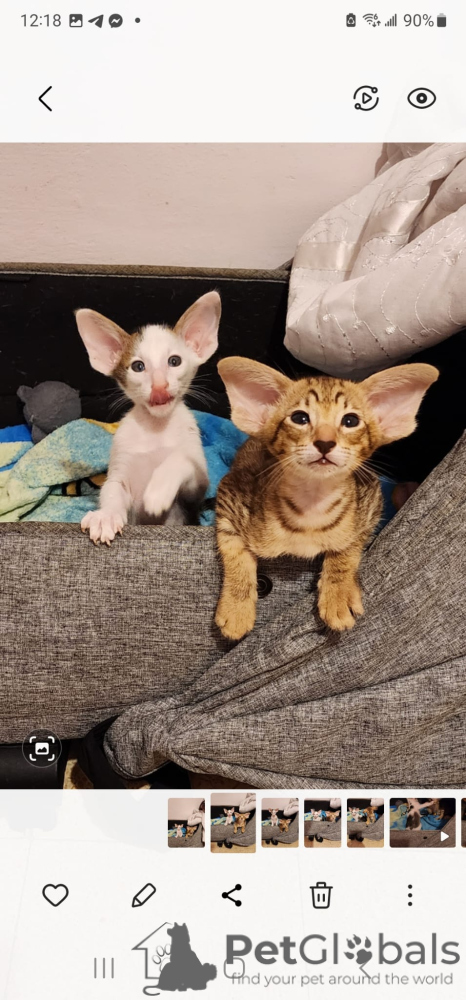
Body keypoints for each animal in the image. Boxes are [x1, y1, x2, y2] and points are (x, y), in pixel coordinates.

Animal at [75, 291, 221, 544]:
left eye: (174, 361)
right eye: (138, 366)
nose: (159, 386)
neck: (156, 427)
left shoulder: (196, 489)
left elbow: (181, 460)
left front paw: (158, 491)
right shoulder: (120, 468)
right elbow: (112, 489)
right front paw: (105, 516)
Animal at [215, 358, 438, 638]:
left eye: (350, 420)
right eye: (299, 418)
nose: (324, 442)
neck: (312, 502)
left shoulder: (370, 499)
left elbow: (348, 546)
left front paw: (338, 594)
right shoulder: (230, 492)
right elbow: (234, 552)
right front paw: (236, 609)